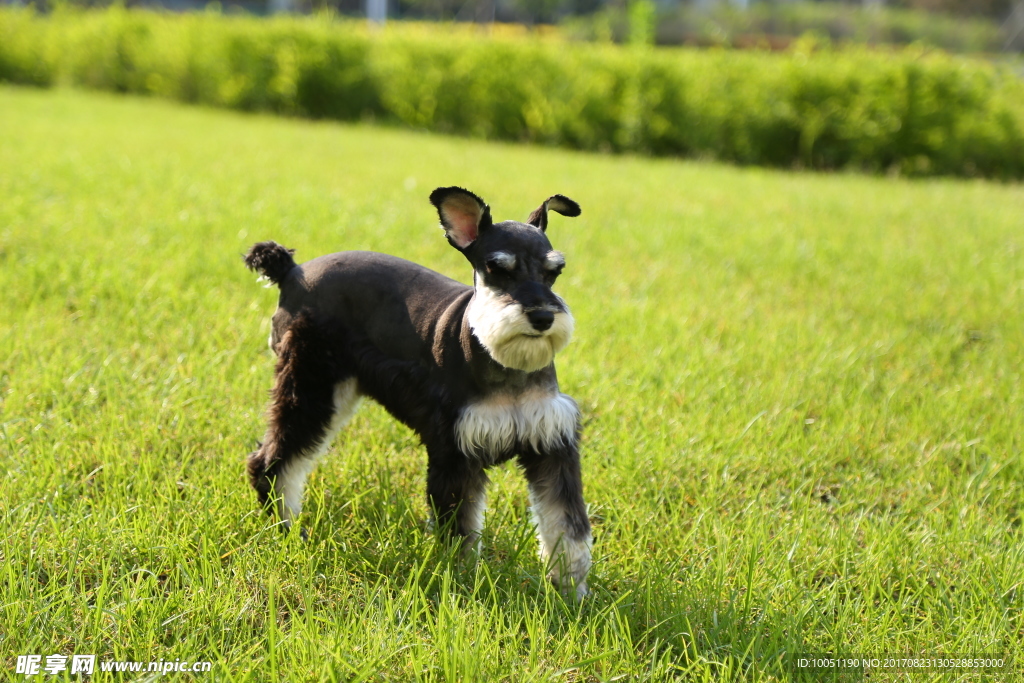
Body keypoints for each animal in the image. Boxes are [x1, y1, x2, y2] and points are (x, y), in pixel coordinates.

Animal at [241, 187, 593, 598]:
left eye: (554, 272)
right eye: (497, 269)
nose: (542, 317)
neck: (505, 367)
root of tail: (292, 272)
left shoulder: (551, 444)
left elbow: (566, 526)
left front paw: (571, 591)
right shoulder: (454, 451)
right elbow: (460, 531)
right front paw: (465, 582)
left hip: (334, 392)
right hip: (310, 389)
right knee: (272, 461)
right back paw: (287, 530)